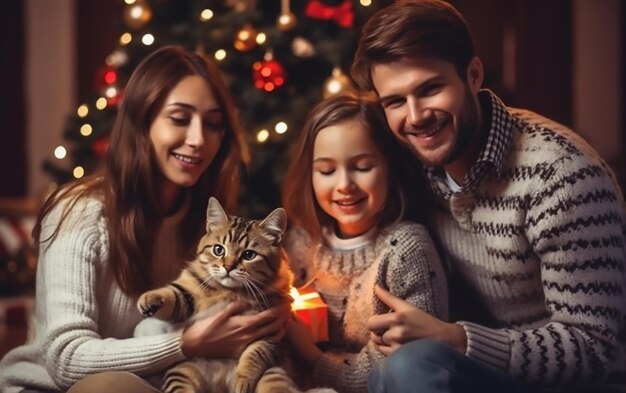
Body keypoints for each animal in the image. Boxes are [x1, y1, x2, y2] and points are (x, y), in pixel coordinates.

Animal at [136, 198, 300, 392]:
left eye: (249, 254)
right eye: (218, 250)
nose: (228, 267)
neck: (230, 291)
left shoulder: (271, 328)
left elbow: (254, 354)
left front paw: (243, 381)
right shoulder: (188, 294)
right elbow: (171, 294)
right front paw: (149, 299)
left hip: (274, 372)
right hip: (182, 371)